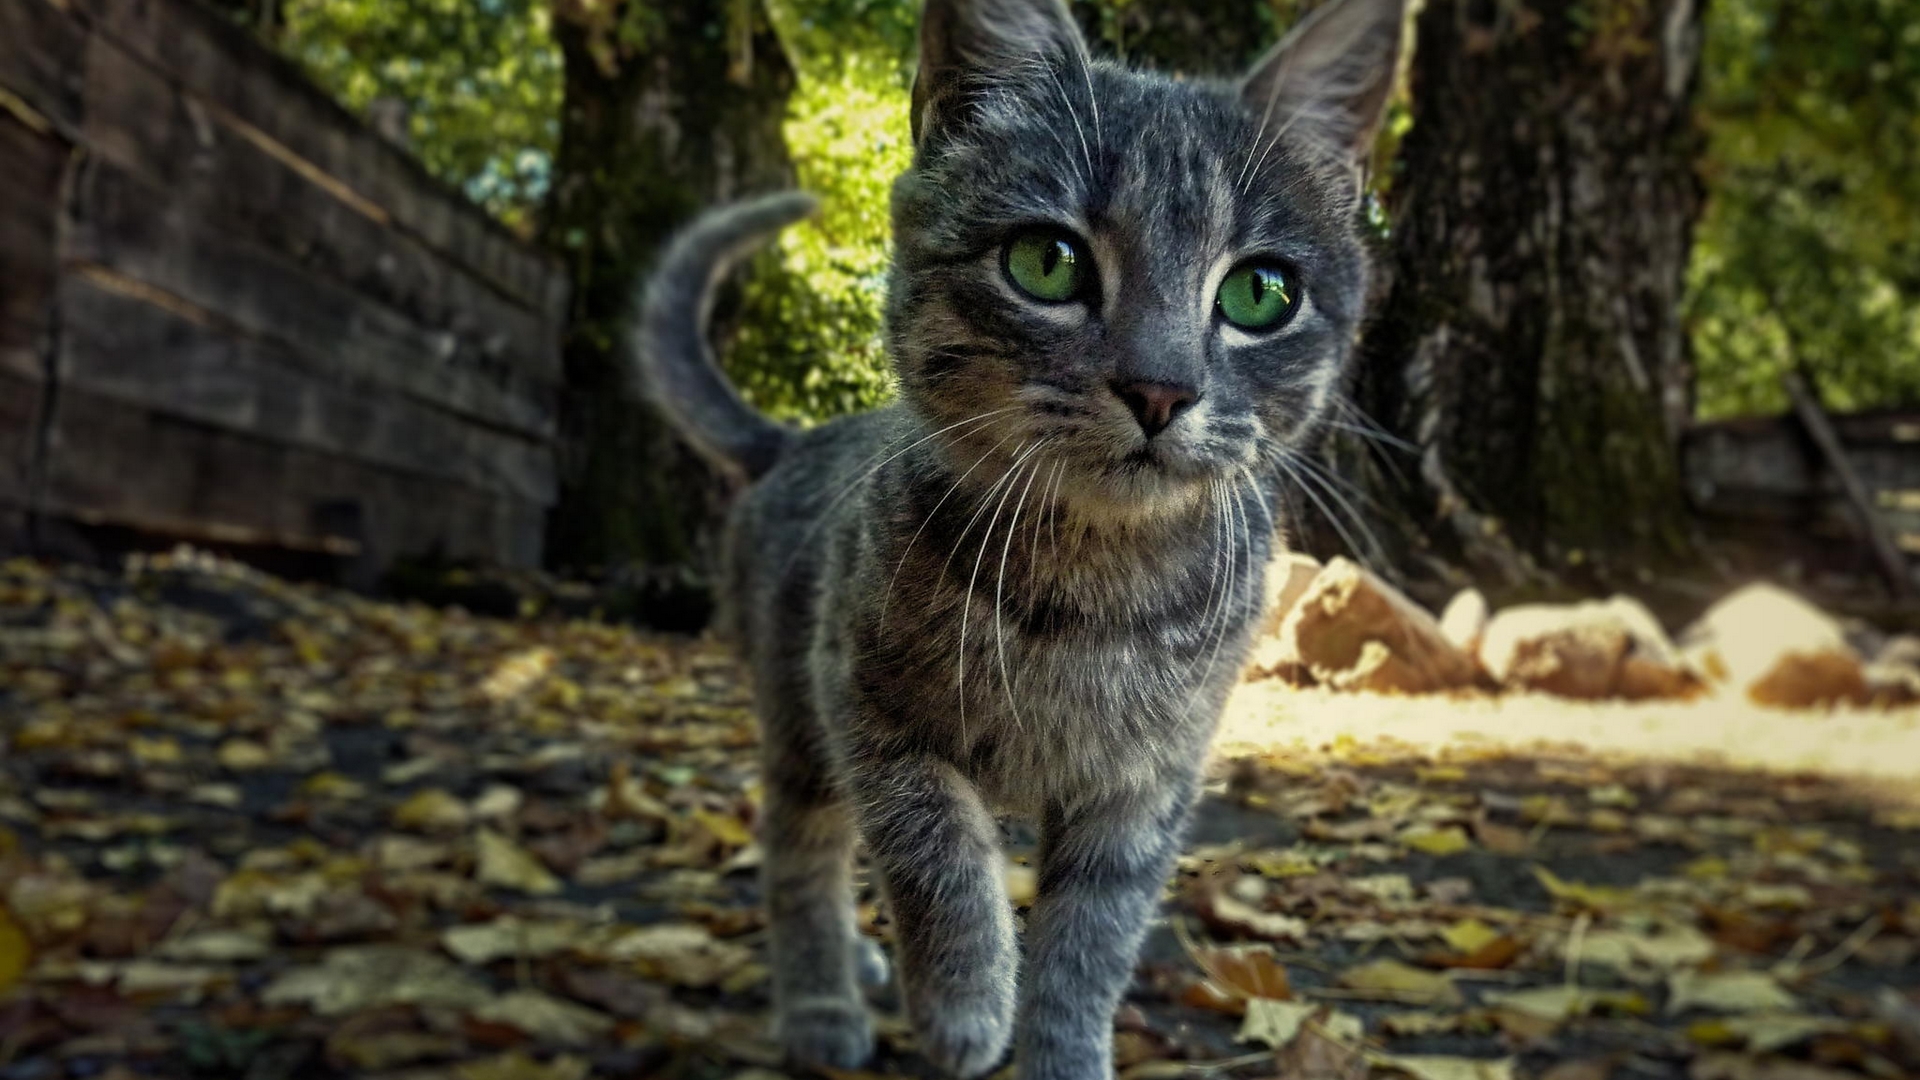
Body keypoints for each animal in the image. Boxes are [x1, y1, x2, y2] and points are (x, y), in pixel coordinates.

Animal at [637, 0, 1405, 1068]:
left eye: (1261, 292)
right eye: (1047, 263)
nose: (1161, 388)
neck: (1093, 592)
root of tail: (792, 438)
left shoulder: (1146, 786)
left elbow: (1090, 944)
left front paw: (1061, 1052)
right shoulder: (866, 709)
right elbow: (939, 859)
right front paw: (965, 1002)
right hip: (796, 715)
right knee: (800, 849)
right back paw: (824, 1003)